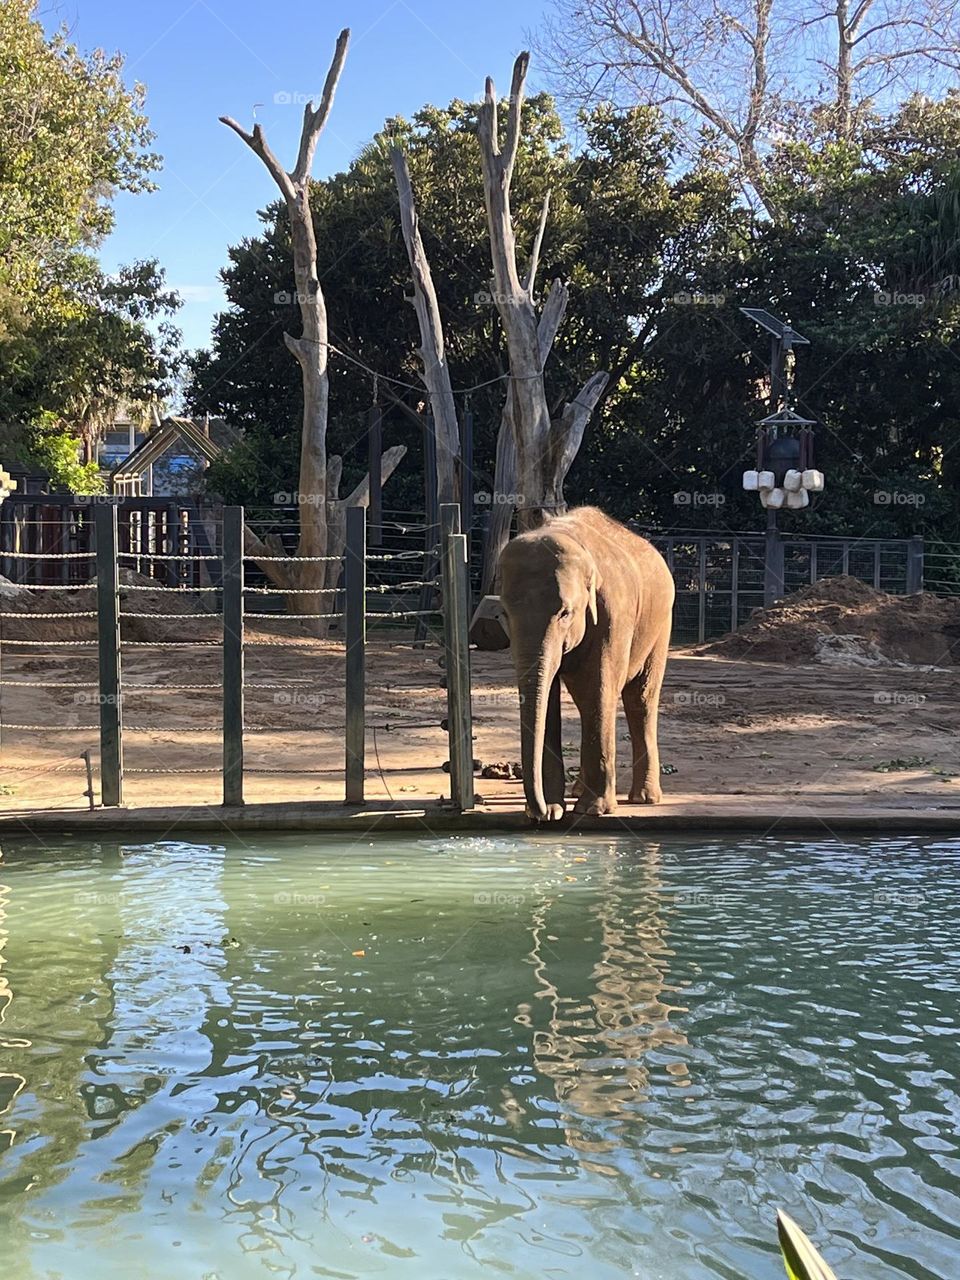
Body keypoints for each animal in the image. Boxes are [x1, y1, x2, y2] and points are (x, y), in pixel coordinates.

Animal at [498, 507, 675, 822]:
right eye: (504, 613)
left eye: (565, 613)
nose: (538, 813)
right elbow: (549, 696)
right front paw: (554, 810)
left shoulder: (613, 614)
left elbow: (598, 688)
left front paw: (594, 810)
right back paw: (578, 790)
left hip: (660, 625)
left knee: (640, 699)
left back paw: (645, 798)